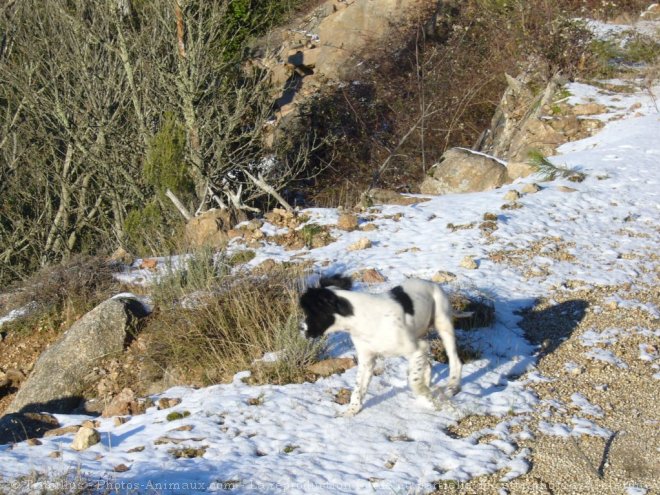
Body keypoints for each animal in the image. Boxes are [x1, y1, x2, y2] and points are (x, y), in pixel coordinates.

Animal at [300, 278, 462, 416]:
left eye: (310, 313)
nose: (300, 329)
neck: (360, 319)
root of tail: (431, 283)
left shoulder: (416, 349)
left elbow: (414, 381)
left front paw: (429, 399)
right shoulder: (367, 358)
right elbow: (358, 388)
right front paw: (351, 411)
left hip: (443, 324)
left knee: (455, 360)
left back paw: (452, 386)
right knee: (427, 364)